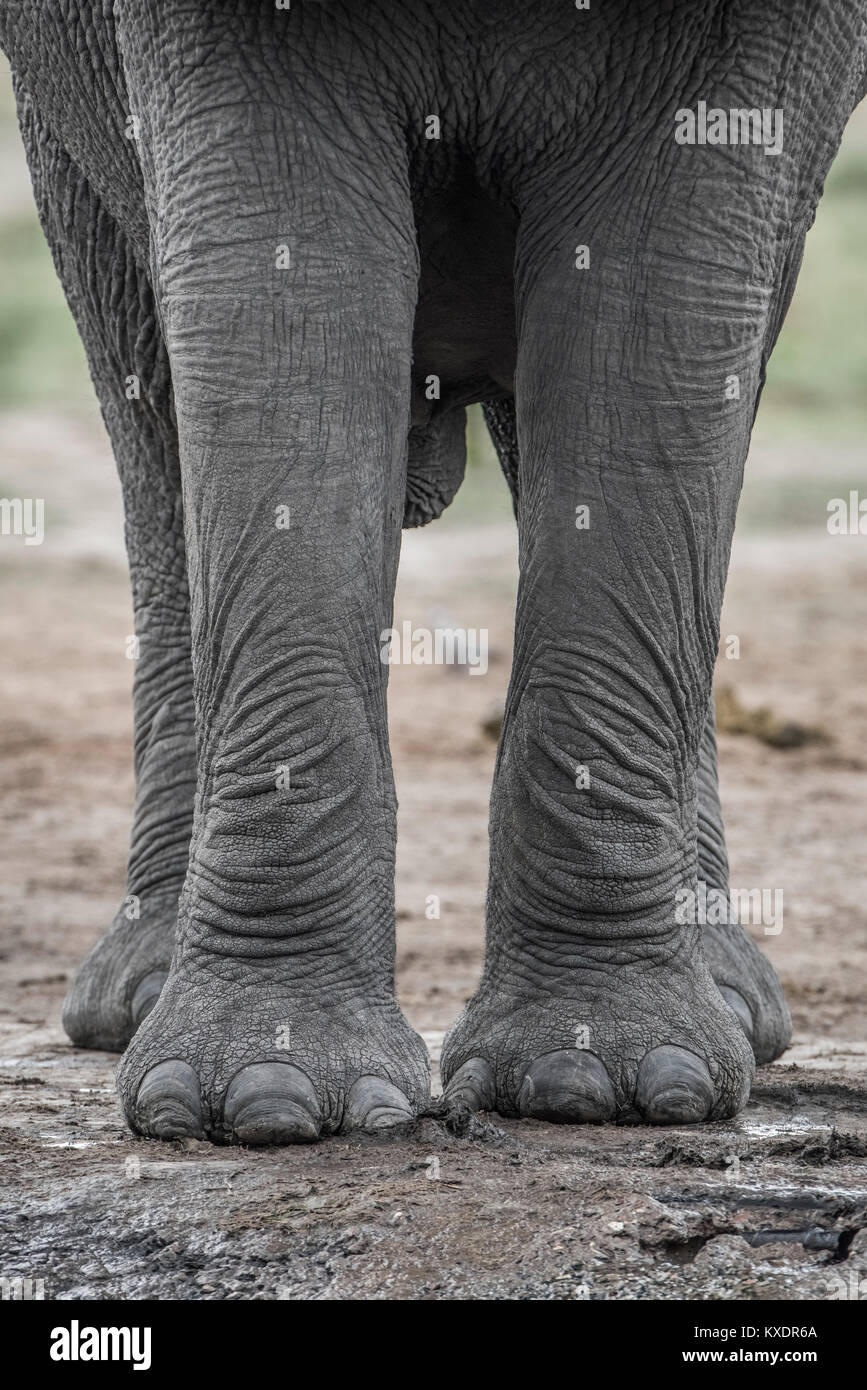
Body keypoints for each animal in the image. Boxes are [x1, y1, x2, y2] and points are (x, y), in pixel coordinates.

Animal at [2, 0, 864, 1143]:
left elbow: (657, 328)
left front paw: (608, 1086)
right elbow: (281, 307)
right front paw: (261, 1102)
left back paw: (726, 1002)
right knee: (145, 398)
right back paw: (140, 996)